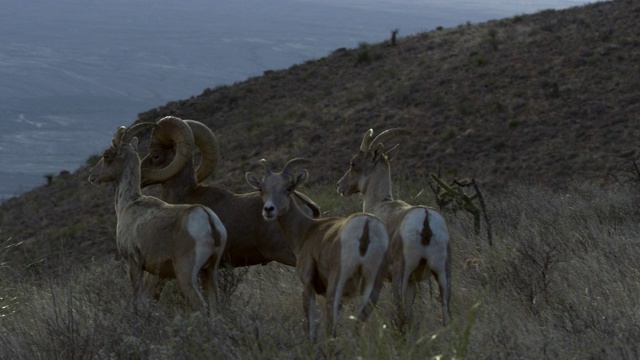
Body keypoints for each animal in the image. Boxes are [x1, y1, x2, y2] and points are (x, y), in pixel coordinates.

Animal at [87, 122, 228, 314]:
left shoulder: (134, 262)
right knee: (215, 307)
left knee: (202, 306)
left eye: (106, 155)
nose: (92, 175)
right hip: (210, 272)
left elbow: (137, 301)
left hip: (186, 276)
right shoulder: (155, 273)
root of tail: (208, 220)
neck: (128, 204)